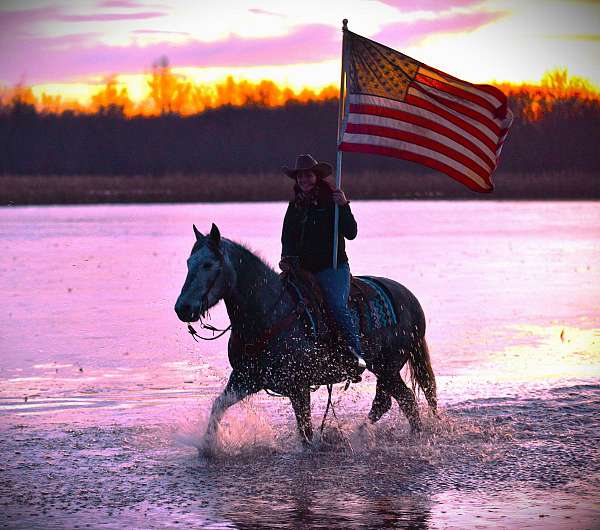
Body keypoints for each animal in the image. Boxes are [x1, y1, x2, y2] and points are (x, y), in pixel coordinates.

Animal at [173, 222, 436, 446]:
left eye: (208, 264)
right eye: (188, 262)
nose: (182, 308)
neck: (270, 312)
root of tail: (409, 297)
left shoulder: (298, 387)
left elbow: (306, 434)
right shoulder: (244, 378)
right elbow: (219, 405)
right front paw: (208, 446)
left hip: (387, 367)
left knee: (403, 400)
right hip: (385, 368)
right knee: (389, 401)